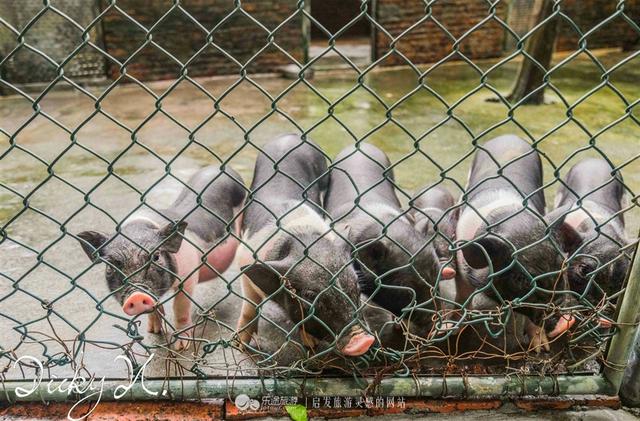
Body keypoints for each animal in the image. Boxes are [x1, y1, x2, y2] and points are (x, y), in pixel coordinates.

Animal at [75, 166, 245, 350]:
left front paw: (181, 347)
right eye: (110, 266)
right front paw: (153, 332)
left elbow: (180, 309)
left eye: (156, 257)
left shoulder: (188, 276)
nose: (137, 296)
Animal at [235, 133, 376, 356]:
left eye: (355, 285)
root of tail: (291, 135)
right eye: (309, 295)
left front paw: (310, 344)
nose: (364, 341)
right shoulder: (245, 263)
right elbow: (249, 309)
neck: (301, 235)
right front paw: (240, 345)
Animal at [452, 135, 584, 352]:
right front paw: (455, 327)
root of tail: (509, 136)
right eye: (521, 279)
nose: (559, 318)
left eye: (562, 267)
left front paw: (541, 348)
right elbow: (462, 297)